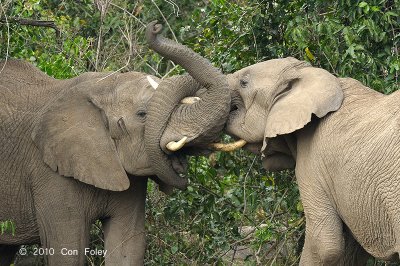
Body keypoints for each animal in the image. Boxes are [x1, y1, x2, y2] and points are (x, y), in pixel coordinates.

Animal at [0, 21, 236, 264]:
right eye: (142, 114)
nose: (156, 27)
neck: (101, 86)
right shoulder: (49, 172)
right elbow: (68, 249)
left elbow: (128, 245)